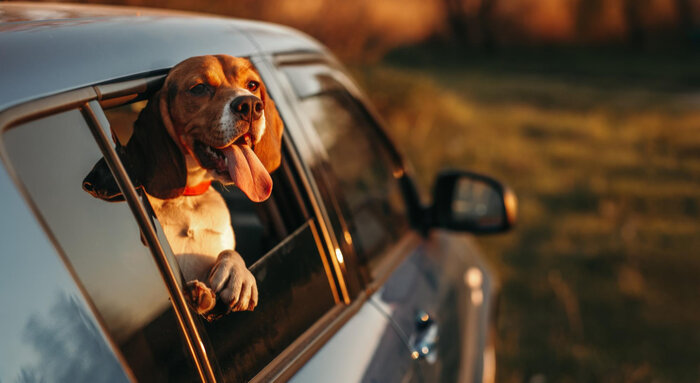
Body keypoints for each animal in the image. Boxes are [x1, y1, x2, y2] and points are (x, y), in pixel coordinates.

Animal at [84, 54, 284, 318]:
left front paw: (237, 275)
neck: (186, 199)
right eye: (199, 88)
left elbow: (230, 252)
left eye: (252, 85)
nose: (250, 105)